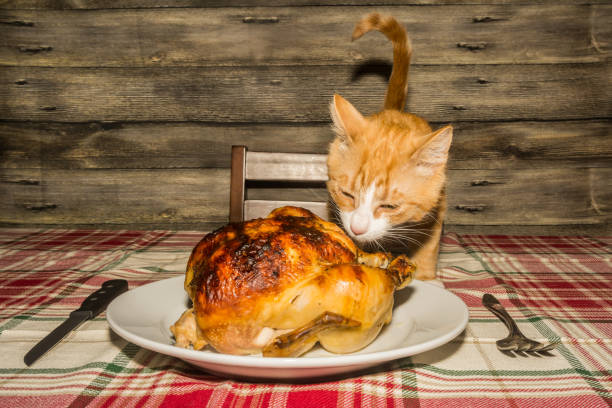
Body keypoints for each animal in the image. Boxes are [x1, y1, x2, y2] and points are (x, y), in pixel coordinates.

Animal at [328, 12, 452, 280]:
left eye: (389, 206)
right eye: (346, 194)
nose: (357, 229)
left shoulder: (437, 205)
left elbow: (429, 245)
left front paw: (427, 278)